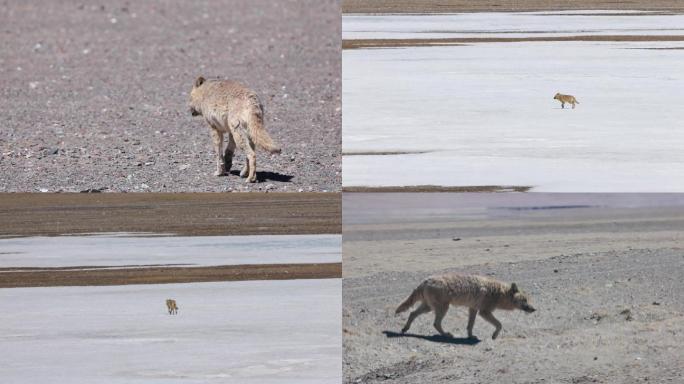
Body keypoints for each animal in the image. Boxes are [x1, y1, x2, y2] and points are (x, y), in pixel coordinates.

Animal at [396, 272, 536, 340]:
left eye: (529, 300)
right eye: (524, 300)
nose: (534, 309)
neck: (498, 293)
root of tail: (425, 281)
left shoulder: (473, 309)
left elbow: (470, 325)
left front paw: (470, 336)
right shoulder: (484, 312)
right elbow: (500, 324)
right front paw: (494, 336)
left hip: (429, 308)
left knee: (412, 313)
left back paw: (405, 329)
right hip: (442, 308)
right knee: (435, 323)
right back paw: (446, 335)